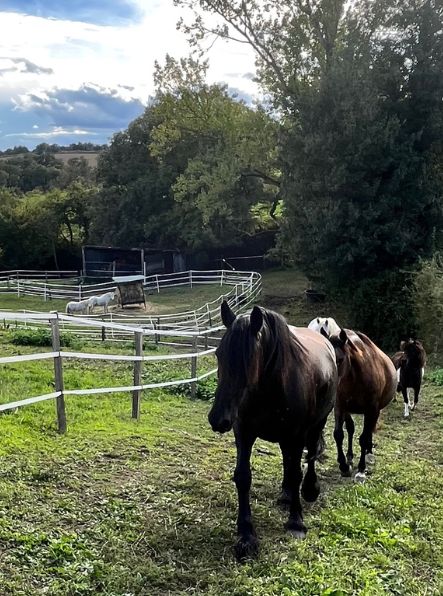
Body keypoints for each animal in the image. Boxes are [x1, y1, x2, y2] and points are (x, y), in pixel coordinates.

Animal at [208, 304, 336, 560]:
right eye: (219, 354)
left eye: (248, 359)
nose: (219, 418)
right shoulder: (244, 433)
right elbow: (243, 476)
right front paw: (246, 534)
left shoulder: (297, 434)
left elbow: (297, 472)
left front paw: (296, 522)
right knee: (288, 458)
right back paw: (286, 494)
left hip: (316, 423)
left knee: (310, 455)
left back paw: (309, 490)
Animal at [324, 328, 398, 482]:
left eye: (340, 359)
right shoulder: (340, 407)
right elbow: (339, 434)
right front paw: (344, 466)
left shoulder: (371, 409)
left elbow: (364, 438)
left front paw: (361, 469)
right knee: (351, 429)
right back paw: (350, 457)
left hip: (374, 411)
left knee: (369, 430)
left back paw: (369, 454)